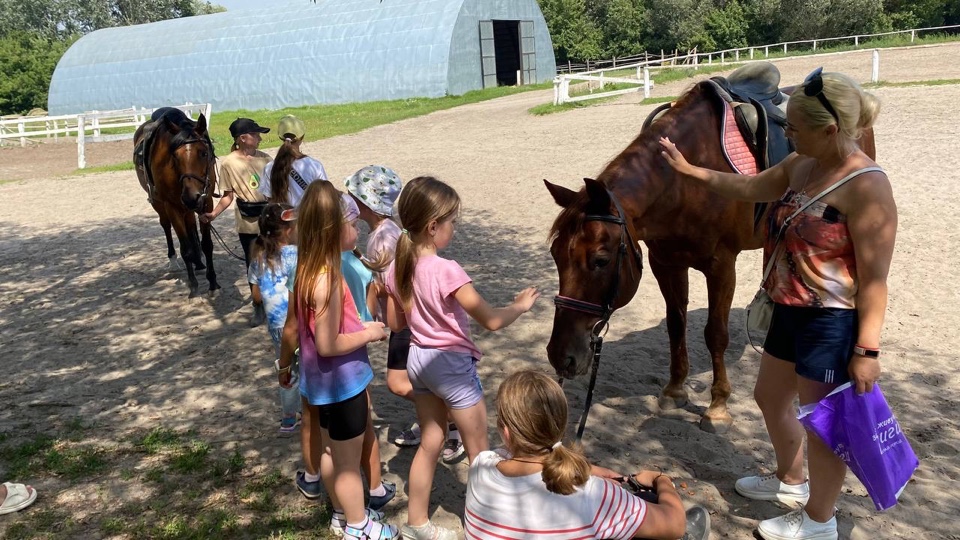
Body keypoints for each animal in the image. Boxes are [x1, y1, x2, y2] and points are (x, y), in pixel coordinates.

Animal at [133, 108, 219, 298]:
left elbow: (207, 244)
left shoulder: (206, 201)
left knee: (190, 225)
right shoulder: (171, 206)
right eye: (175, 156)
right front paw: (193, 285)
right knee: (166, 225)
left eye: (204, 153)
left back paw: (199, 262)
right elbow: (185, 249)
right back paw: (174, 261)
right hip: (159, 203)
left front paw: (213, 282)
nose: (191, 196)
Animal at [544, 81, 872, 434]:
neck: (682, 185)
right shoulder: (666, 262)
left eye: (601, 260)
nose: (559, 355)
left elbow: (716, 334)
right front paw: (675, 391)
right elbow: (676, 325)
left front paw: (717, 408)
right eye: (556, 256)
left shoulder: (721, 266)